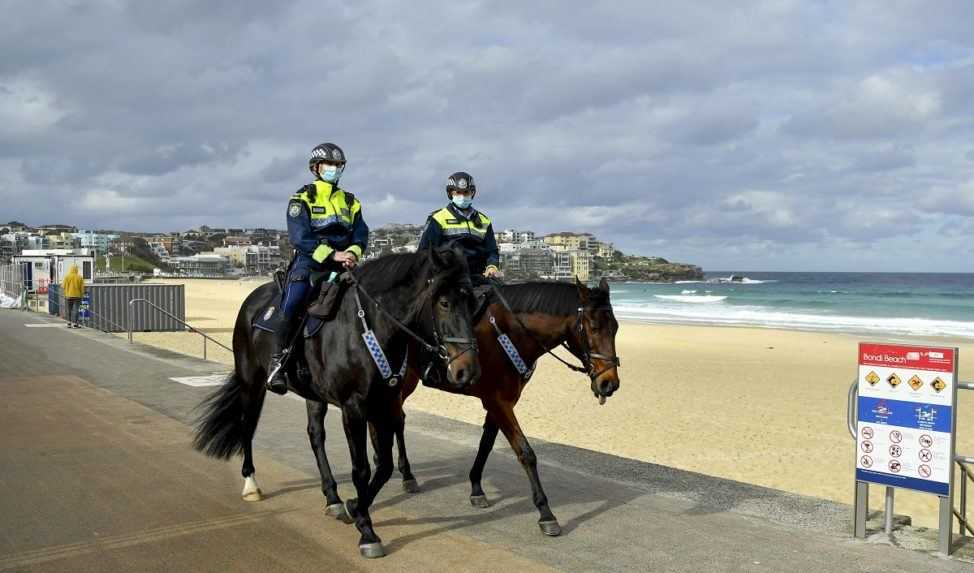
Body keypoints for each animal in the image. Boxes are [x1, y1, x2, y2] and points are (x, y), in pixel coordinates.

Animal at [191, 248, 480, 556]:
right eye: (445, 303)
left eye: (473, 302)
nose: (468, 370)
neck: (368, 328)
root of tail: (253, 300)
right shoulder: (354, 409)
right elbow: (361, 469)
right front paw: (367, 530)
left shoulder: (385, 404)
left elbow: (384, 466)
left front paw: (354, 505)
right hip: (251, 381)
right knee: (247, 426)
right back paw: (251, 484)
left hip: (313, 395)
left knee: (316, 436)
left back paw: (332, 498)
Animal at [304, 278, 620, 536]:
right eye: (593, 328)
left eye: (615, 328)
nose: (609, 383)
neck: (508, 331)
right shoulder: (498, 401)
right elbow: (525, 453)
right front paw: (545, 513)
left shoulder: (500, 401)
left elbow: (486, 444)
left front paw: (476, 487)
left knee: (396, 421)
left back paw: (404, 474)